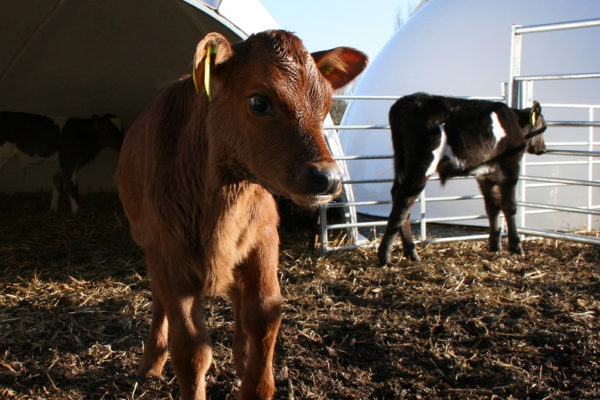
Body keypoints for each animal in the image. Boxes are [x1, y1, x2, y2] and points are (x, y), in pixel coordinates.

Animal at [114, 31, 366, 400]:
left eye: (324, 105)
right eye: (259, 102)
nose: (329, 178)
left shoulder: (264, 237)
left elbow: (264, 313)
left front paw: (254, 380)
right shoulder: (168, 252)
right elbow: (190, 348)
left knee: (239, 300)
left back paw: (241, 355)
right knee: (160, 300)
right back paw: (151, 362)